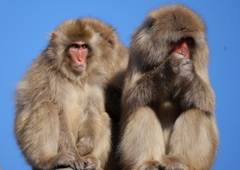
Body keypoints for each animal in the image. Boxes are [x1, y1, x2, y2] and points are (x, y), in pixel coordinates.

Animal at [15, 17, 129, 170]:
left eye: (84, 47)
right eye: (74, 47)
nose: (80, 59)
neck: (74, 76)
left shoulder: (94, 81)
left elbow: (91, 112)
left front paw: (84, 148)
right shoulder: (47, 75)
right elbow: (60, 113)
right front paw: (75, 156)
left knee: (104, 116)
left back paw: (92, 159)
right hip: (28, 150)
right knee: (46, 107)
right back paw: (48, 160)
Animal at [119, 4, 218, 170]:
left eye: (188, 40)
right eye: (179, 40)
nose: (184, 51)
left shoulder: (200, 61)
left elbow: (208, 100)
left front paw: (190, 74)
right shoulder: (139, 53)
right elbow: (130, 98)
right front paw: (170, 67)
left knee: (196, 110)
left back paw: (178, 160)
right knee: (143, 109)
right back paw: (147, 161)